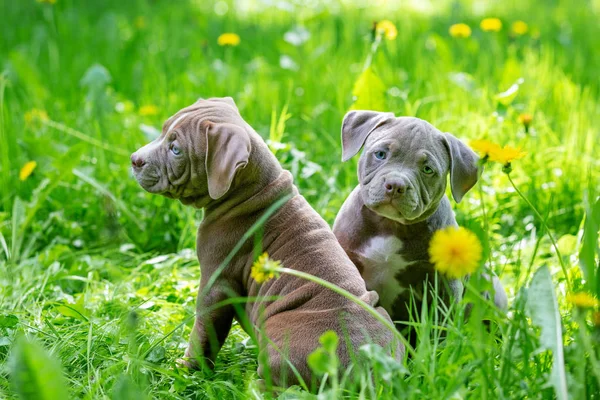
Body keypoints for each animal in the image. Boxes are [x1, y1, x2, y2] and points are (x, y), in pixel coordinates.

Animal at [131, 98, 404, 390]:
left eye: (176, 149)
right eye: (162, 132)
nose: (134, 159)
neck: (256, 191)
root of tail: (363, 374)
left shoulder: (216, 282)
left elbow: (203, 335)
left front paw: (182, 371)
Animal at [332, 110, 506, 334]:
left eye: (427, 169)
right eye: (380, 154)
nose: (396, 185)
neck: (390, 225)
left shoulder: (444, 285)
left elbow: (440, 328)